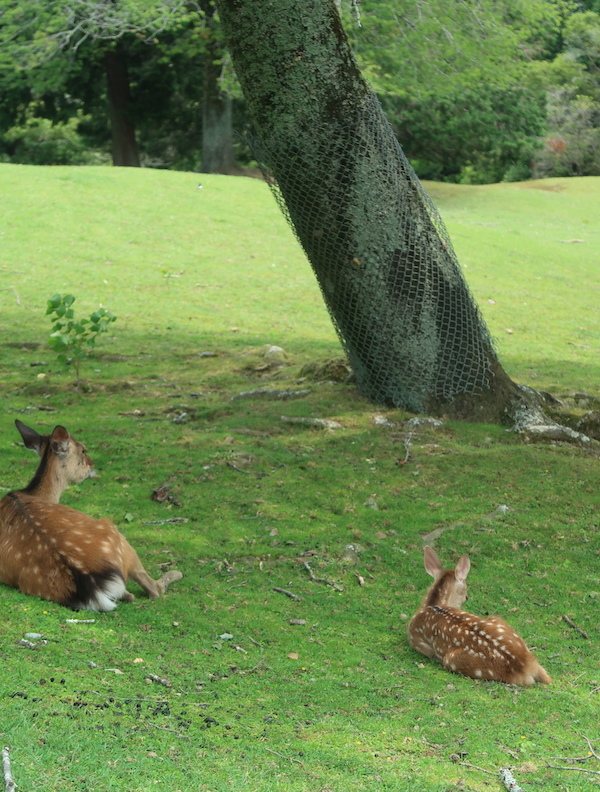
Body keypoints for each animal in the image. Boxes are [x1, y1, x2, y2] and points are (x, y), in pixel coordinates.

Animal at [0, 420, 183, 612]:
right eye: (83, 450)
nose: (92, 465)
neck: (36, 494)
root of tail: (90, 588)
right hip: (119, 538)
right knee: (153, 589)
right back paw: (176, 573)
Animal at [410, 544, 552, 688]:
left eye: (466, 597)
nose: (466, 599)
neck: (431, 605)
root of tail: (527, 667)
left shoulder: (417, 641)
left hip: (450, 659)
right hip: (498, 620)